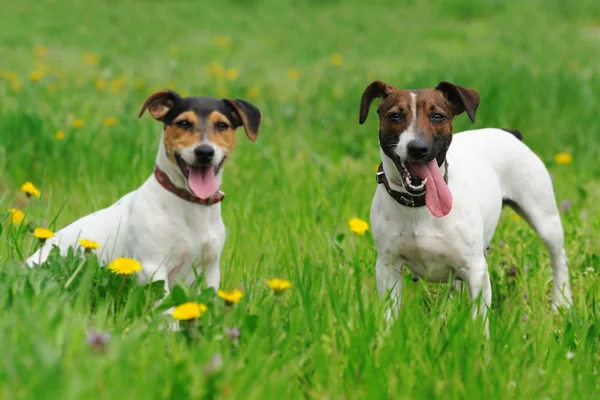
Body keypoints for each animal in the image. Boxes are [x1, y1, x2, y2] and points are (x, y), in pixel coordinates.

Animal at [26, 90, 260, 296]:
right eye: (183, 123)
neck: (191, 206)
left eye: (222, 125)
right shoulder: (153, 267)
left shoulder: (211, 269)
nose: (204, 152)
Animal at [358, 79, 576, 332]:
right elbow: (388, 316)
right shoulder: (388, 266)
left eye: (438, 116)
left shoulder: (476, 270)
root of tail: (508, 133)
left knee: (558, 257)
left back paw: (562, 302)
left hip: (544, 218)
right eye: (395, 116)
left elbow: (480, 320)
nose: (418, 148)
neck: (419, 204)